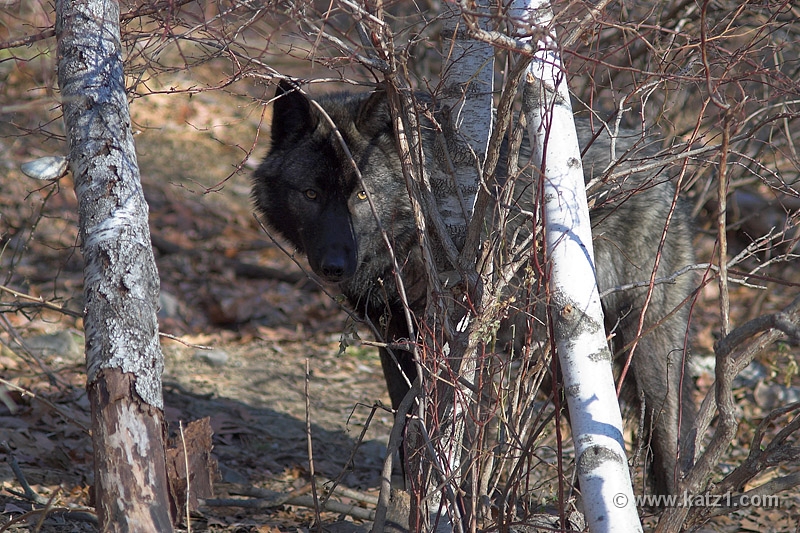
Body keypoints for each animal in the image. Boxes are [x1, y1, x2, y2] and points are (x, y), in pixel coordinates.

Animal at [252, 80, 696, 496]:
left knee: (663, 437)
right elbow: (407, 426)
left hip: (631, 350)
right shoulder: (396, 337)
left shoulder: (460, 340)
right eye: (310, 194)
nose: (334, 266)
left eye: (362, 194)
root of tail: (661, 165)